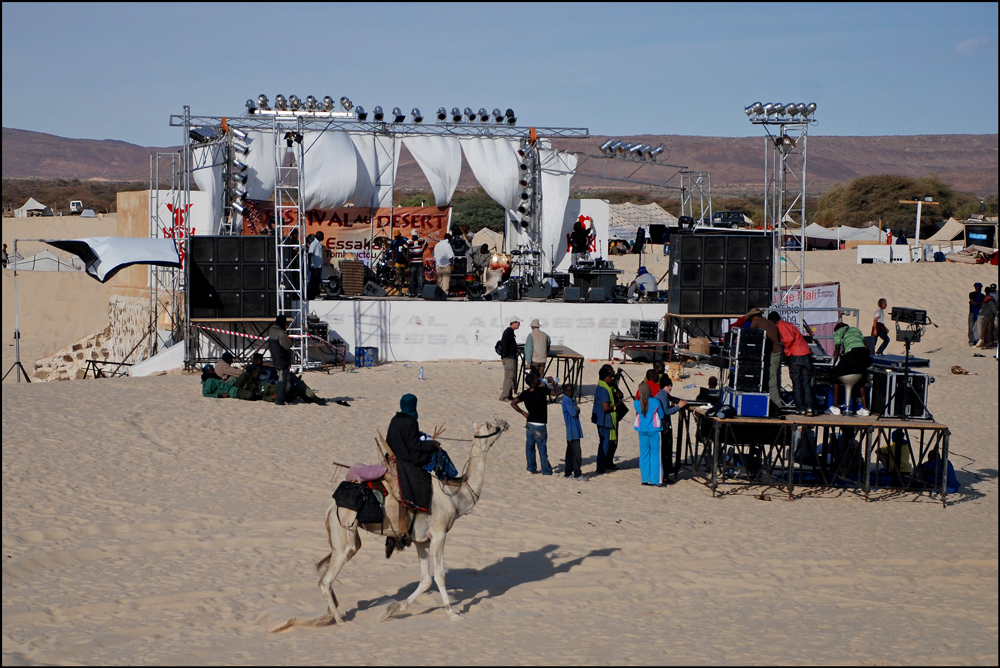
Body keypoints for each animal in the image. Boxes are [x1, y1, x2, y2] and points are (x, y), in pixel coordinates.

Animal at [270, 418, 508, 632]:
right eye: (489, 424)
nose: (504, 423)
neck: (456, 495)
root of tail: (330, 508)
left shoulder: (421, 540)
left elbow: (425, 579)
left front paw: (392, 609)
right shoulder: (439, 534)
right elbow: (440, 575)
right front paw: (453, 614)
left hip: (343, 536)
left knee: (323, 567)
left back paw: (329, 614)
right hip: (345, 530)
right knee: (326, 579)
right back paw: (339, 621)